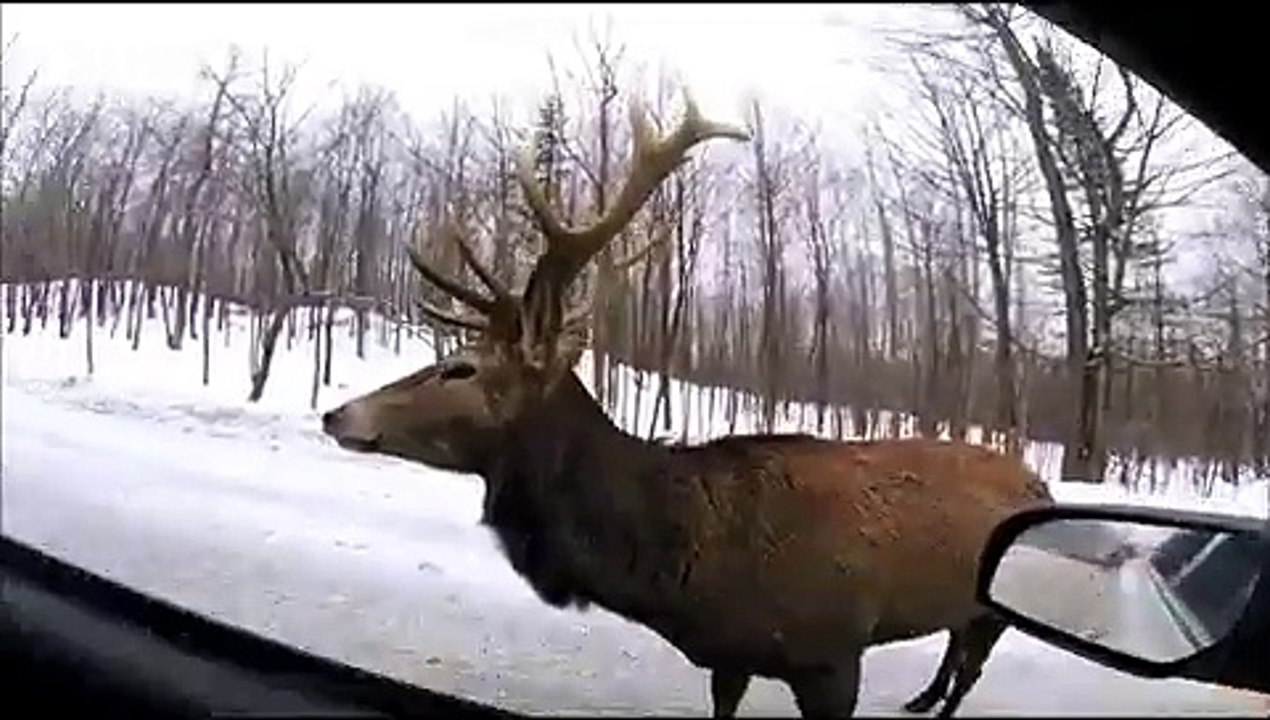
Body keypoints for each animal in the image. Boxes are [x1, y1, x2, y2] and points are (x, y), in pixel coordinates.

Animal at [321, 92, 1054, 718]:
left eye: (461, 368)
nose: (337, 413)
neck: (688, 563)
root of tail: (1039, 483)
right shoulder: (729, 656)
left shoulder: (833, 655)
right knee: (955, 649)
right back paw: (919, 697)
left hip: (998, 609)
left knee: (970, 667)